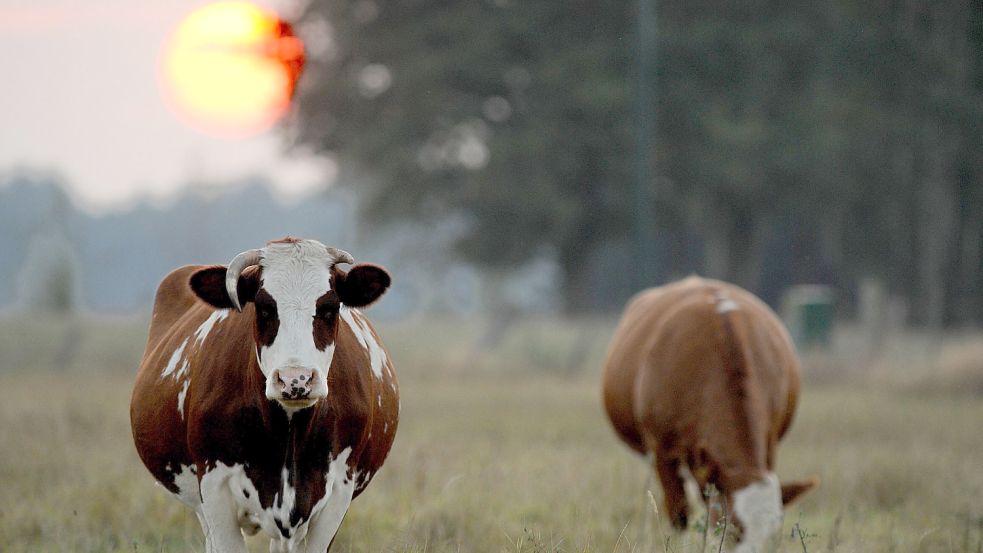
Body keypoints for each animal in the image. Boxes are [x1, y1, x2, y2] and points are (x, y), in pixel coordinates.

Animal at [132, 237, 400, 552]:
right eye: (263, 309)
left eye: (329, 309)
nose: (295, 379)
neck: (289, 430)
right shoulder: (213, 487)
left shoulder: (338, 491)